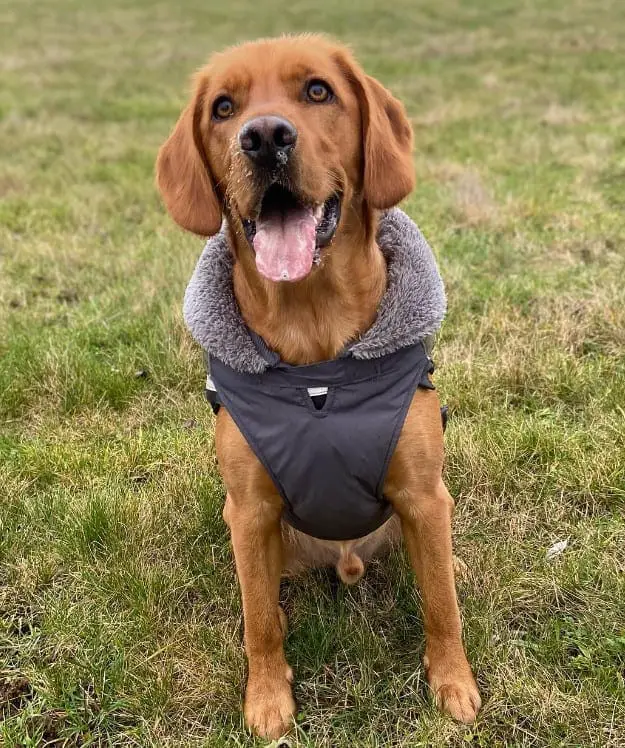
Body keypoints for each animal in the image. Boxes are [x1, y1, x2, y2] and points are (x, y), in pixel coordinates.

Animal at [155, 33, 478, 736]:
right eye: (223, 107)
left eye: (318, 91)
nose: (264, 137)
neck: (315, 354)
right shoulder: (249, 511)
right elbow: (258, 625)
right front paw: (267, 698)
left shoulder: (421, 494)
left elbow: (441, 606)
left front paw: (453, 684)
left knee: (437, 565)